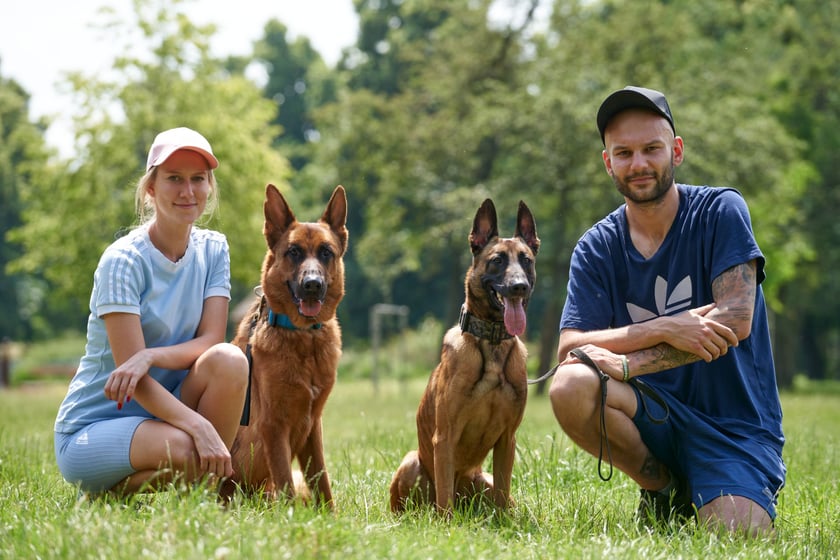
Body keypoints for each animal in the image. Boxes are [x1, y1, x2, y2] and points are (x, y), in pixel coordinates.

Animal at [390, 199, 540, 516]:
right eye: (497, 260)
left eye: (526, 260)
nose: (519, 286)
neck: (492, 342)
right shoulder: (445, 436)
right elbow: (444, 497)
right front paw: (447, 524)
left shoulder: (508, 439)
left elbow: (504, 491)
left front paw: (504, 522)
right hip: (411, 463)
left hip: (483, 480)